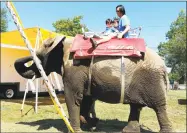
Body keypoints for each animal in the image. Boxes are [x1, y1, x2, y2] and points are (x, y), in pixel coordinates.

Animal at [14, 35, 172, 132]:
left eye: (39, 58)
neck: (65, 41)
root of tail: (164, 65)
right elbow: (86, 98)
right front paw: (91, 124)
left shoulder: (74, 68)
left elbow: (73, 97)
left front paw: (77, 129)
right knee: (136, 105)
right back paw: (127, 131)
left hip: (151, 80)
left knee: (159, 107)